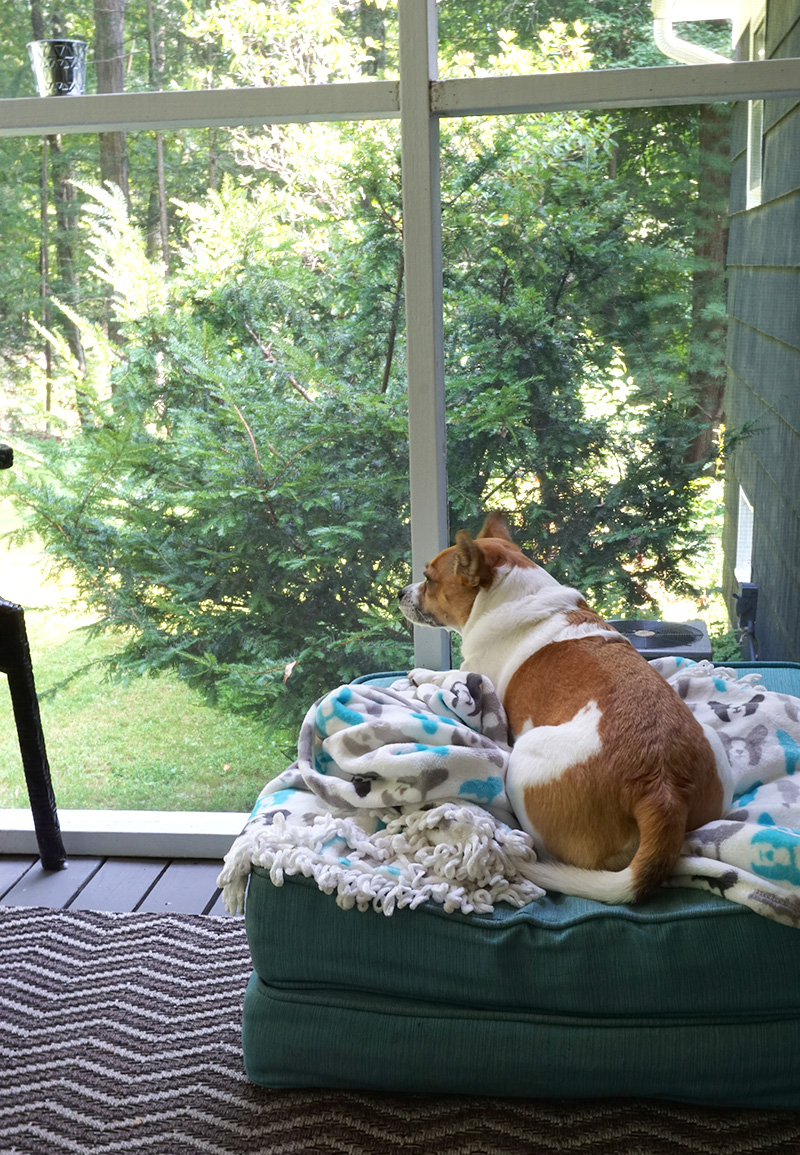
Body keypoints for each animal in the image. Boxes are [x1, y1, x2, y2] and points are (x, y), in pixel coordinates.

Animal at [397, 512, 734, 900]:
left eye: (428, 579)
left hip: (524, 762)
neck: (515, 594)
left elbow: (447, 675)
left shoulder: (475, 670)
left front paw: (422, 676)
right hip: (710, 742)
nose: (400, 593)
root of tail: (661, 787)